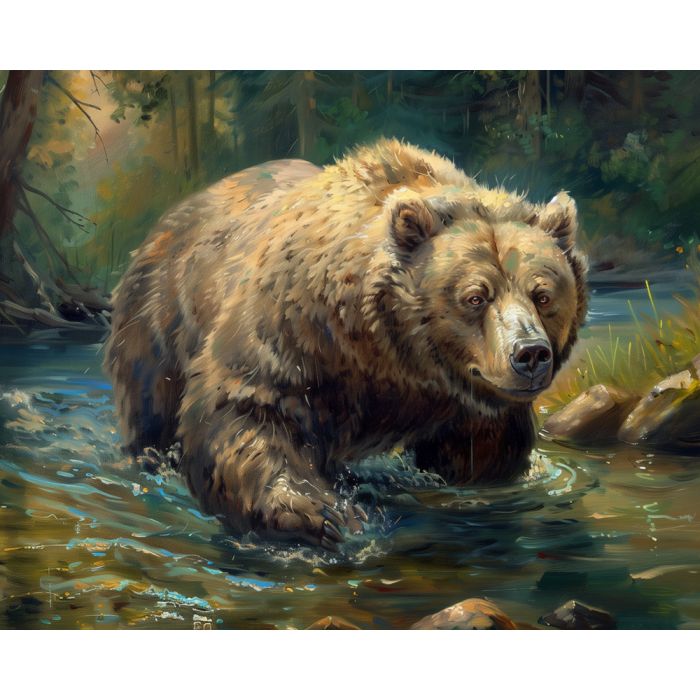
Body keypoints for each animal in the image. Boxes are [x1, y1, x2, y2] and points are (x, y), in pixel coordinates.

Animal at [104, 138, 588, 550]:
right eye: (475, 296)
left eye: (542, 294)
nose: (529, 353)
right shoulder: (295, 333)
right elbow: (246, 408)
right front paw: (325, 514)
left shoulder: (465, 402)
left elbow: (484, 451)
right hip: (160, 318)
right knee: (152, 404)